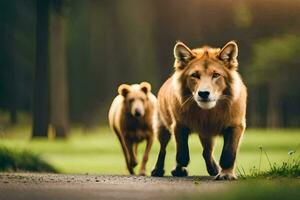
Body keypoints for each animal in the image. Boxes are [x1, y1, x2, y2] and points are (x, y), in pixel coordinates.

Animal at [151, 40, 247, 180]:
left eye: (216, 75)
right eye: (195, 75)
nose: (203, 93)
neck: (208, 113)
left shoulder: (235, 125)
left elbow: (228, 154)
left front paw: (226, 174)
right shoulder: (178, 125)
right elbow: (182, 152)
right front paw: (180, 167)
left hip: (207, 135)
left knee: (206, 152)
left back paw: (213, 169)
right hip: (162, 127)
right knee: (163, 149)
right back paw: (160, 170)